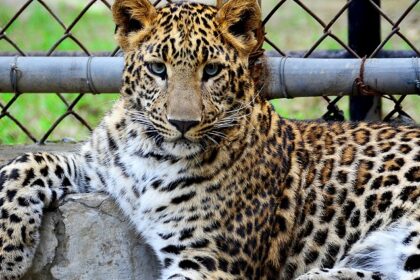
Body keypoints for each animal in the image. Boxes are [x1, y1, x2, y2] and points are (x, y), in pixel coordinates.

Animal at [0, 0, 420, 278]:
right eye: (158, 69)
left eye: (212, 71)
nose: (182, 123)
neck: (151, 152)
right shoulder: (97, 166)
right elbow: (24, 164)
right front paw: (9, 254)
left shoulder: (206, 261)